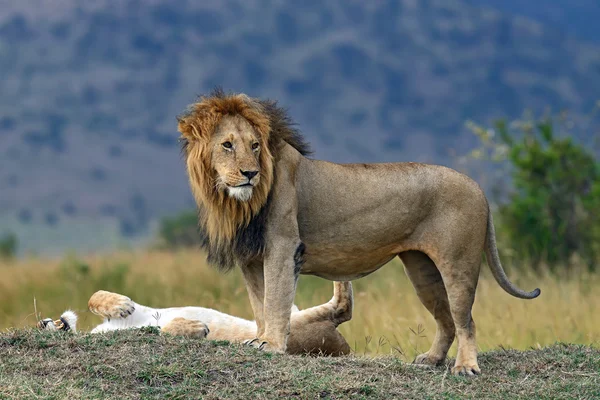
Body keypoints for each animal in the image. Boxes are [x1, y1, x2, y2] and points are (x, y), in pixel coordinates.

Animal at [177, 89, 540, 376]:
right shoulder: (251, 260)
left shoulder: (283, 247)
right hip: (422, 270)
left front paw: (273, 345)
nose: (250, 173)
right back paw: (432, 359)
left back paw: (466, 366)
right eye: (227, 145)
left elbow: (276, 301)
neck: (235, 203)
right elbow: (260, 304)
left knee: (466, 320)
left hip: (458, 263)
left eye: (254, 146)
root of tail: (479, 188)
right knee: (447, 319)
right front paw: (262, 338)